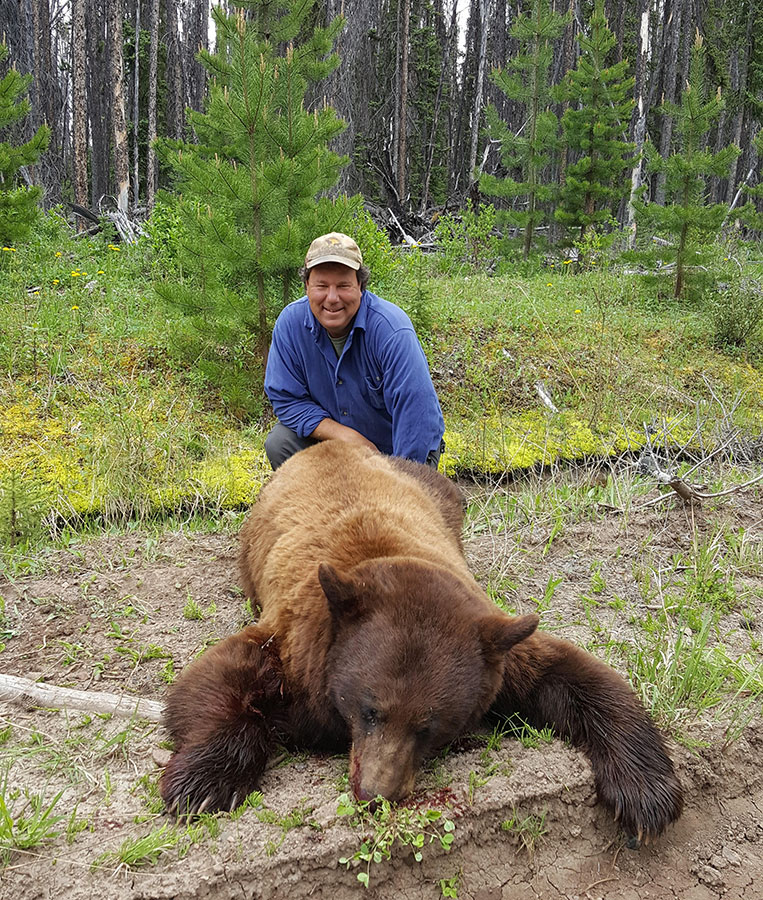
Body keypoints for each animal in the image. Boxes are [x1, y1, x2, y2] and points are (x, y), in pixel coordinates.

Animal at [158, 442, 684, 844]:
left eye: (428, 726)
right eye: (370, 709)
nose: (376, 793)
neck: (395, 560)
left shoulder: (495, 649)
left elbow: (576, 676)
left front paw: (647, 794)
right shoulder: (299, 643)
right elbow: (219, 673)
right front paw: (200, 785)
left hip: (439, 490)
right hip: (251, 541)